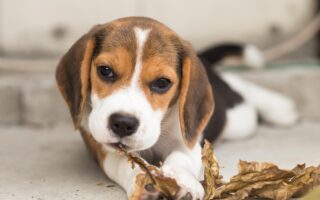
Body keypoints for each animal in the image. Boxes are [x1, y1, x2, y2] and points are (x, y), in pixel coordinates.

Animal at [55, 16, 298, 199]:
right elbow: (126, 163)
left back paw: (280, 108)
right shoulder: (103, 148)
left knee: (239, 89)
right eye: (105, 71)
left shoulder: (189, 143)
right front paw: (146, 183)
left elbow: (180, 158)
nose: (123, 124)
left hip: (239, 122)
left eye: (162, 83)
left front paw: (183, 182)